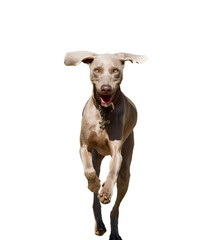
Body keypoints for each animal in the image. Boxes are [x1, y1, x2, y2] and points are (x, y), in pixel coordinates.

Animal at [65, 51, 147, 239]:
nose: (105, 88)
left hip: (126, 168)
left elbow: (112, 172)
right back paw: (99, 223)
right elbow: (88, 171)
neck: (104, 113)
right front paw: (94, 184)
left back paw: (114, 231)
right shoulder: (84, 147)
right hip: (97, 157)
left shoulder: (117, 151)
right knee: (95, 193)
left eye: (115, 70)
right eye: (97, 70)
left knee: (115, 208)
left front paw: (106, 191)